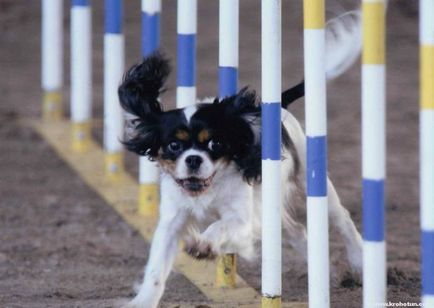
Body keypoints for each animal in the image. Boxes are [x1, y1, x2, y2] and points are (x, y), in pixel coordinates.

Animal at [118, 8, 362, 306]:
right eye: (174, 145)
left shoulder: (243, 221)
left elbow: (220, 226)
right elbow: (156, 268)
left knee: (342, 219)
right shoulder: (172, 222)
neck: (206, 189)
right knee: (297, 231)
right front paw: (143, 300)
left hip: (311, 183)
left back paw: (359, 262)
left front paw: (204, 244)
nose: (193, 159)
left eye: (216, 143)